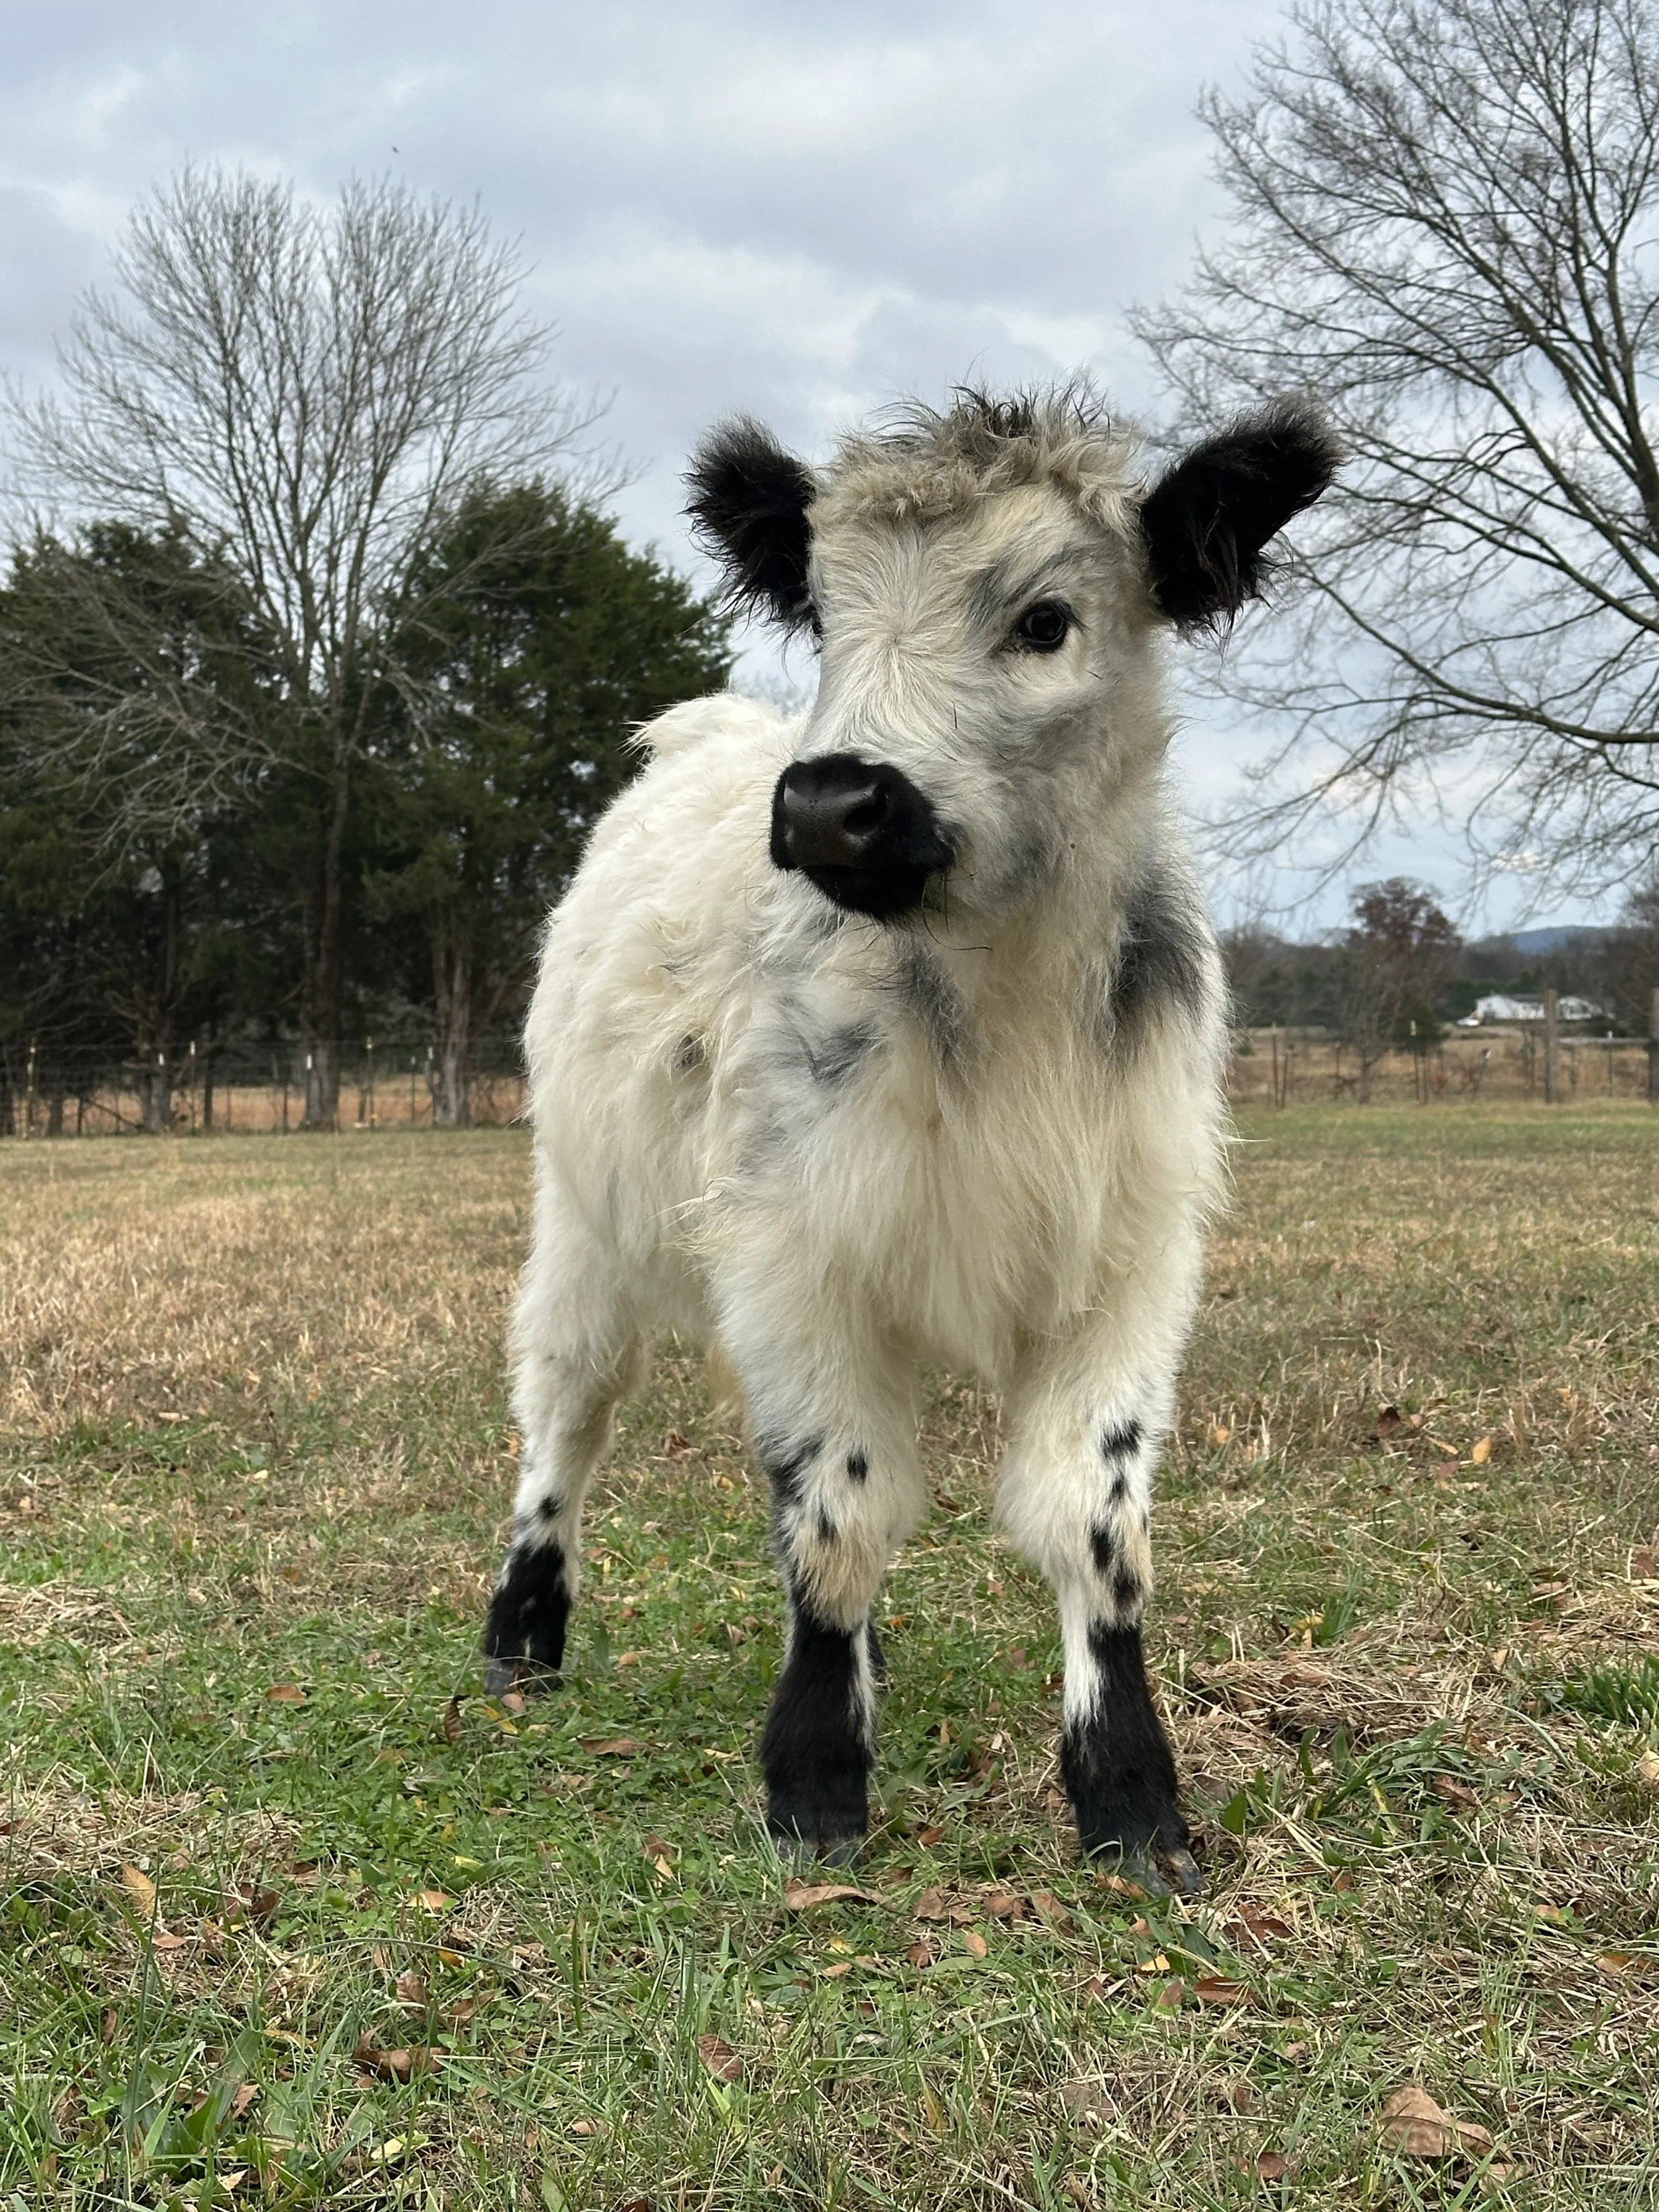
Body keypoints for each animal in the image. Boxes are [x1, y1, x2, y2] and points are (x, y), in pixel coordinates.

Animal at [482, 386, 1337, 1893]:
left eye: (1045, 619)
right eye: (824, 612)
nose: (829, 802)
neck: (997, 1009)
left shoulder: (1125, 1263)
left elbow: (1090, 1524)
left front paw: (1133, 1800)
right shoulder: (798, 1250)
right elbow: (835, 1515)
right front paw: (817, 1778)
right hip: (584, 1211)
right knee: (569, 1404)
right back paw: (523, 1628)